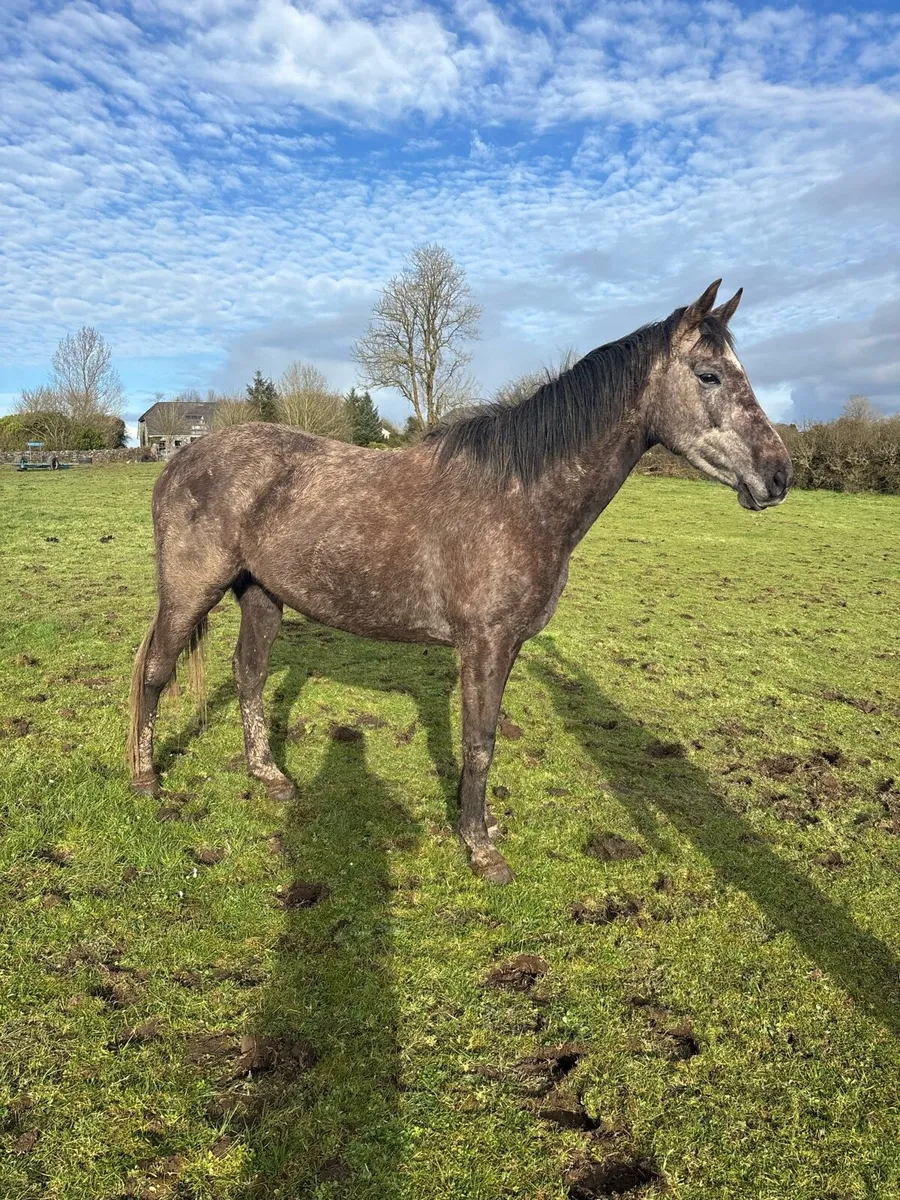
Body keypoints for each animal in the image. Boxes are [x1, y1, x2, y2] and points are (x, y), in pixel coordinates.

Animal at [128, 280, 792, 884]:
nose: (779, 475)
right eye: (708, 375)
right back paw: (146, 778)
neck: (519, 497)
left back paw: (269, 776)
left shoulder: (504, 646)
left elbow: (483, 741)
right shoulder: (484, 645)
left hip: (263, 596)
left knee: (249, 674)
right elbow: (479, 744)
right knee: (157, 670)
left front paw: (483, 827)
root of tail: (181, 459)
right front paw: (480, 849)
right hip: (190, 592)